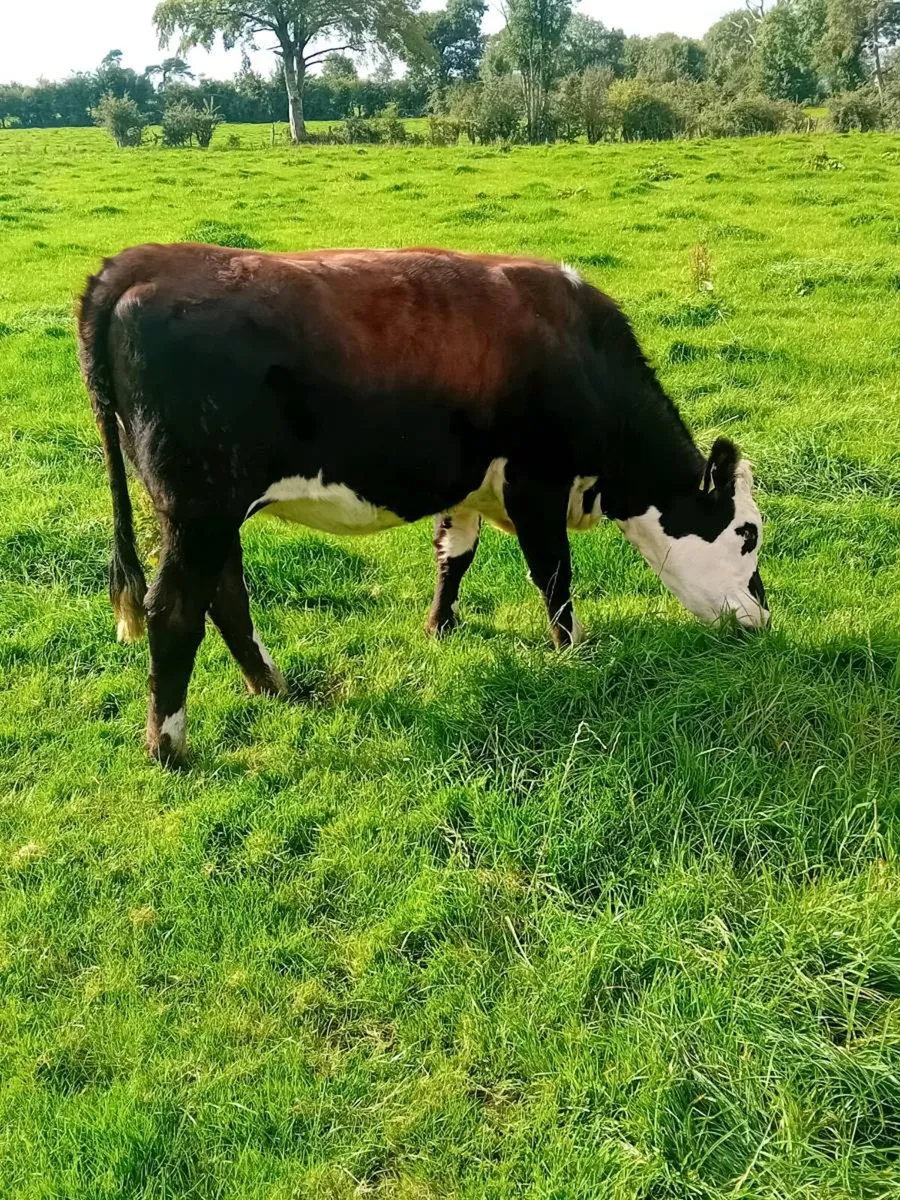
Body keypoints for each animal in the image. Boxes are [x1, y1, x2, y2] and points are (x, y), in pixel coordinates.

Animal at [78, 244, 768, 766]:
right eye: (748, 534)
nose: (763, 616)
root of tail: (142, 261)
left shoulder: (466, 486)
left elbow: (454, 555)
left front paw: (440, 625)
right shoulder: (535, 483)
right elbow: (553, 574)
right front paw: (574, 652)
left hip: (209, 513)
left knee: (224, 595)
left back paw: (275, 688)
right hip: (199, 507)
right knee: (174, 609)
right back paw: (169, 747)